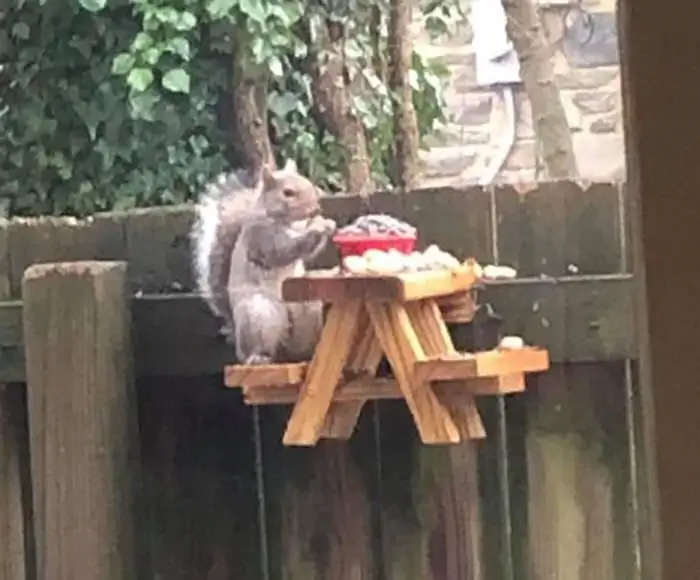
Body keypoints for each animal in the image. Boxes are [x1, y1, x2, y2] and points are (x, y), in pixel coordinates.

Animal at [190, 157, 334, 368]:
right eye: (288, 193)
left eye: (308, 182)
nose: (315, 209)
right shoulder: (261, 235)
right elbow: (283, 249)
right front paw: (317, 228)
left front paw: (325, 224)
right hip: (259, 316)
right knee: (261, 349)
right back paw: (259, 357)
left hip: (308, 309)